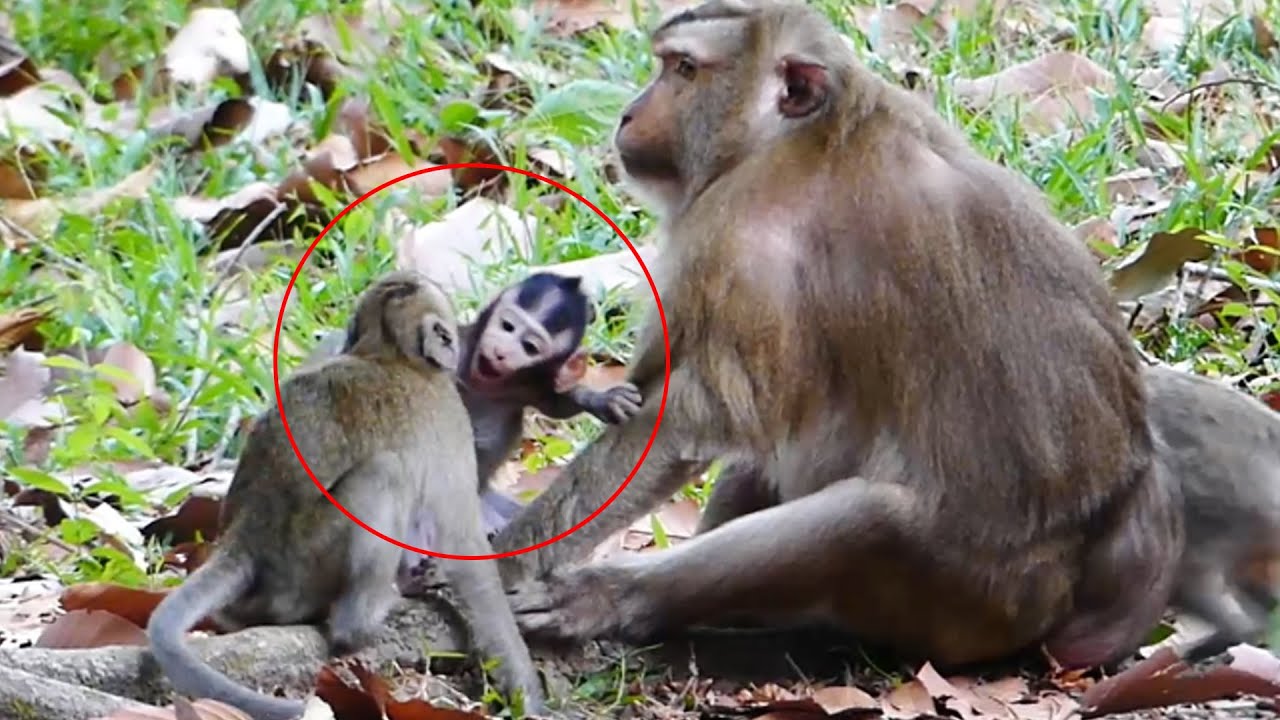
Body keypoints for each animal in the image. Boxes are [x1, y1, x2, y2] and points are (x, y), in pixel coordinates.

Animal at [147, 270, 545, 720]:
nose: (459, 350)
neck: (389, 354)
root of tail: (243, 541)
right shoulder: (449, 413)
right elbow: (464, 545)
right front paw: (528, 692)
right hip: (306, 566)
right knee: (384, 473)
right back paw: (360, 621)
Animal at [489, 0, 1184, 672]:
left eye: (683, 70)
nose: (630, 114)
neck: (803, 134)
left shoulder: (732, 241)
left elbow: (684, 417)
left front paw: (512, 557)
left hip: (972, 598)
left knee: (866, 523)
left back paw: (625, 599)